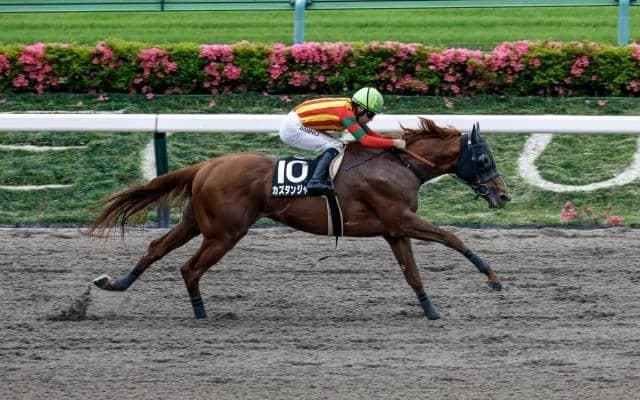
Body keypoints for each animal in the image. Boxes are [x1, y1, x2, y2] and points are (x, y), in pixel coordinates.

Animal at [88, 117, 511, 320]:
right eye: (484, 159)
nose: (503, 194)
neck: (401, 164)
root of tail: (205, 166)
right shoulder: (401, 219)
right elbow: (453, 239)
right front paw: (493, 279)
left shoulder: (394, 229)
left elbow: (413, 274)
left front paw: (431, 311)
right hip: (224, 233)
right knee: (189, 268)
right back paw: (200, 313)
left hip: (197, 223)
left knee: (156, 247)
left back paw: (116, 283)